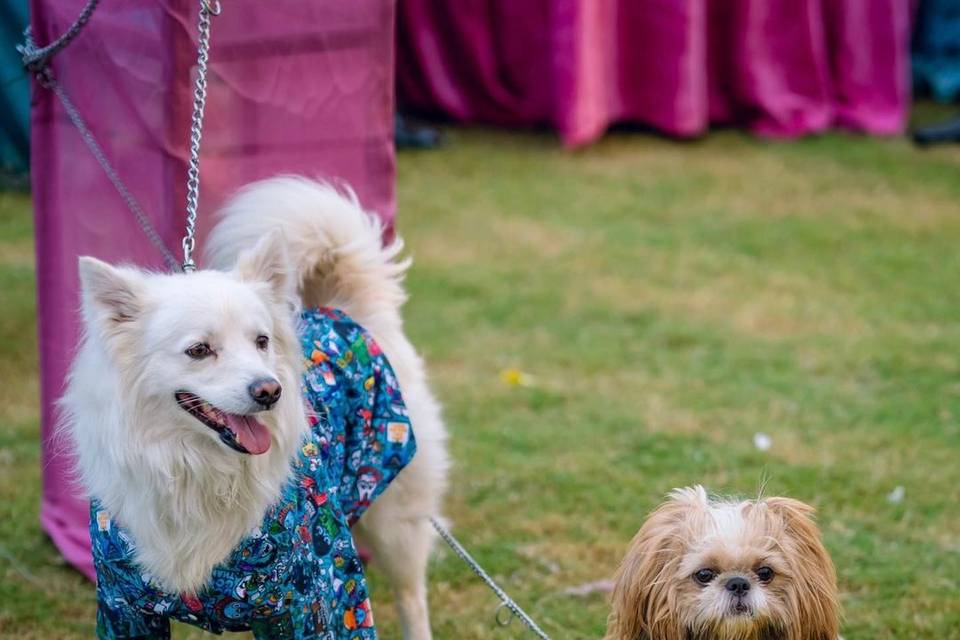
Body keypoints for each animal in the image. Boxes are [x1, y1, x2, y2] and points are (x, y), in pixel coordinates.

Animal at [61, 176, 450, 640]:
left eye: (261, 341)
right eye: (199, 350)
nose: (270, 391)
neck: (197, 469)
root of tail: (344, 310)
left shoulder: (319, 595)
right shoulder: (124, 607)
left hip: (396, 520)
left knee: (413, 598)